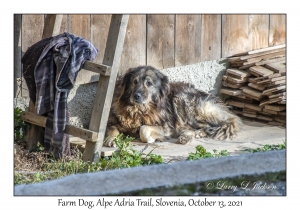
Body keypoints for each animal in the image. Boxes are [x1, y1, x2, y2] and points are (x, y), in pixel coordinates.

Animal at [104, 65, 240, 146]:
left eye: (149, 83)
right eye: (134, 82)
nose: (136, 96)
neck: (138, 111)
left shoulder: (166, 127)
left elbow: (144, 129)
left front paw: (152, 139)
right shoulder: (112, 121)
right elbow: (111, 130)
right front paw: (111, 139)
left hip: (185, 104)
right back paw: (191, 135)